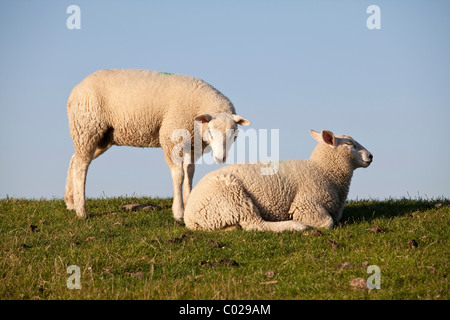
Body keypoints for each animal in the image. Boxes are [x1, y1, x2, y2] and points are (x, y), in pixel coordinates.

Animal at [65, 69, 251, 220]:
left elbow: (190, 172)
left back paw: (70, 201)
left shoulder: (191, 144)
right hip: (87, 127)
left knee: (75, 159)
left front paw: (188, 201)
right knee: (81, 166)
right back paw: (81, 210)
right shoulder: (171, 138)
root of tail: (74, 92)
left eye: (234, 135)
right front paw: (178, 212)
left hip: (102, 137)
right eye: (211, 132)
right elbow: (179, 175)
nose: (221, 158)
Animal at [183, 130, 372, 232]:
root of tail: (189, 216)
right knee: (256, 225)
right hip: (233, 198)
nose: (370, 156)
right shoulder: (306, 204)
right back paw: (296, 226)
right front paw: (307, 224)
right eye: (350, 144)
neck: (323, 170)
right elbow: (328, 223)